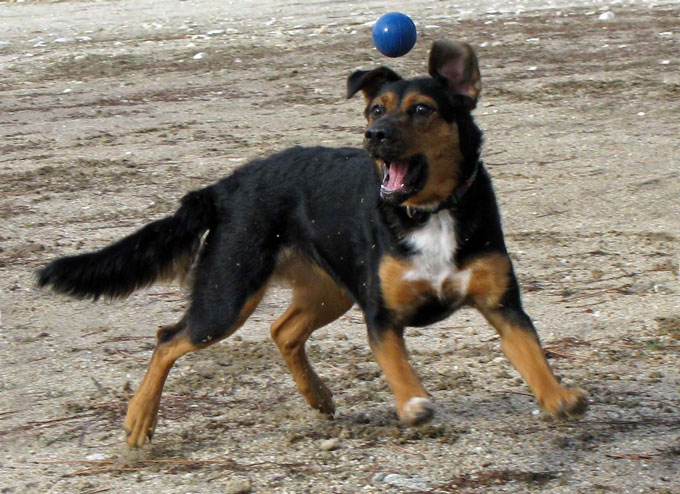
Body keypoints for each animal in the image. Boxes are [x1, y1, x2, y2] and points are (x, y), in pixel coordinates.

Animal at [39, 39, 588, 448]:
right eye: (375, 109)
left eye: (423, 110)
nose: (374, 135)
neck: (428, 213)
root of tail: (224, 187)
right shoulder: (380, 315)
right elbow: (398, 367)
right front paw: (413, 404)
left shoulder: (502, 306)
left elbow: (532, 354)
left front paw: (557, 395)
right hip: (228, 295)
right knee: (167, 339)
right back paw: (139, 420)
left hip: (327, 291)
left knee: (282, 331)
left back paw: (318, 396)